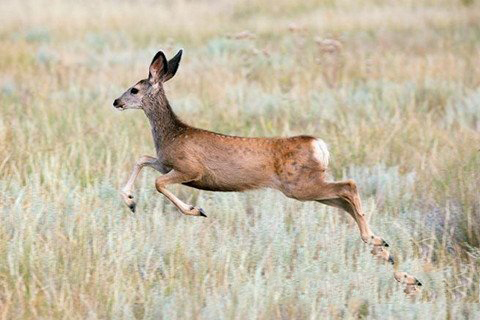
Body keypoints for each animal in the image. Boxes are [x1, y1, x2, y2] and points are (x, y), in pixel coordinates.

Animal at [114, 49, 392, 258]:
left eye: (134, 89)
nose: (116, 102)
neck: (172, 133)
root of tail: (319, 145)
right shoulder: (166, 163)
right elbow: (142, 159)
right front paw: (130, 200)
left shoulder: (191, 168)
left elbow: (158, 183)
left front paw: (196, 210)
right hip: (307, 186)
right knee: (343, 200)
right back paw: (381, 245)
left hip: (300, 185)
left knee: (349, 185)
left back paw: (376, 242)